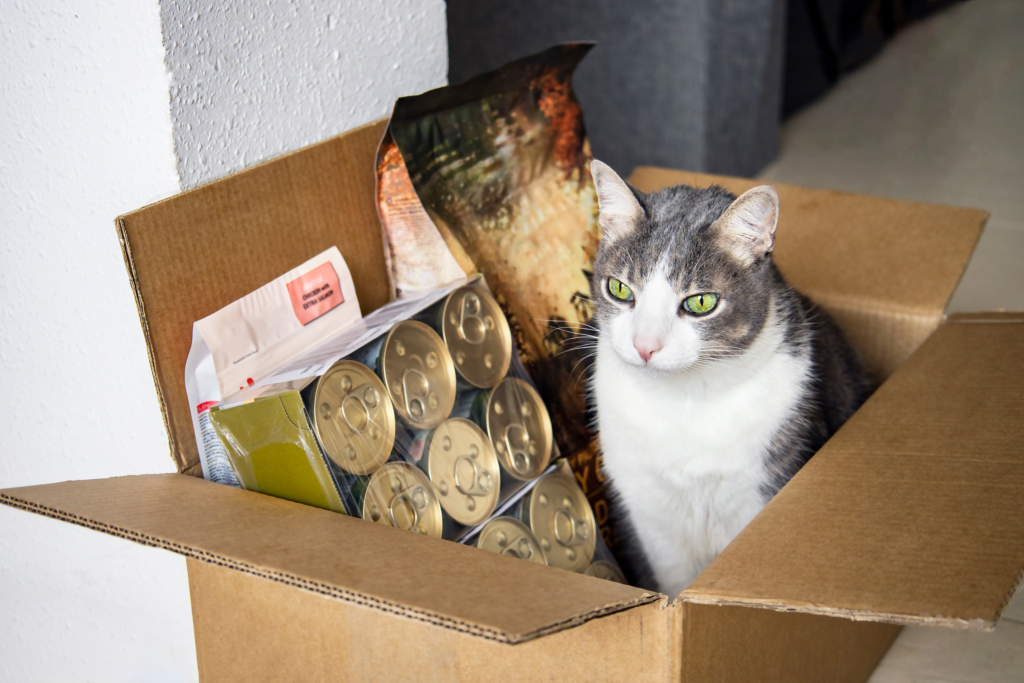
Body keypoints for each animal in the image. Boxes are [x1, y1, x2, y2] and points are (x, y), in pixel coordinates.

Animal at [589, 160, 868, 598]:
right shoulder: (649, 514)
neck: (682, 400)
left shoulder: (762, 490)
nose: (645, 346)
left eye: (701, 302)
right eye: (619, 289)